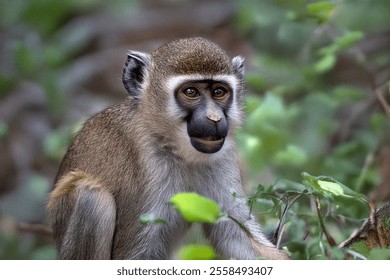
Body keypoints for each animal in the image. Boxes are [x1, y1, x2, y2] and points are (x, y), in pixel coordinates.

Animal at [46, 37, 290, 260]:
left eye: (219, 92)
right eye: (191, 92)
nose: (214, 118)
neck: (173, 146)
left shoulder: (222, 157)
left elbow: (238, 240)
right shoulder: (146, 167)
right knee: (90, 197)